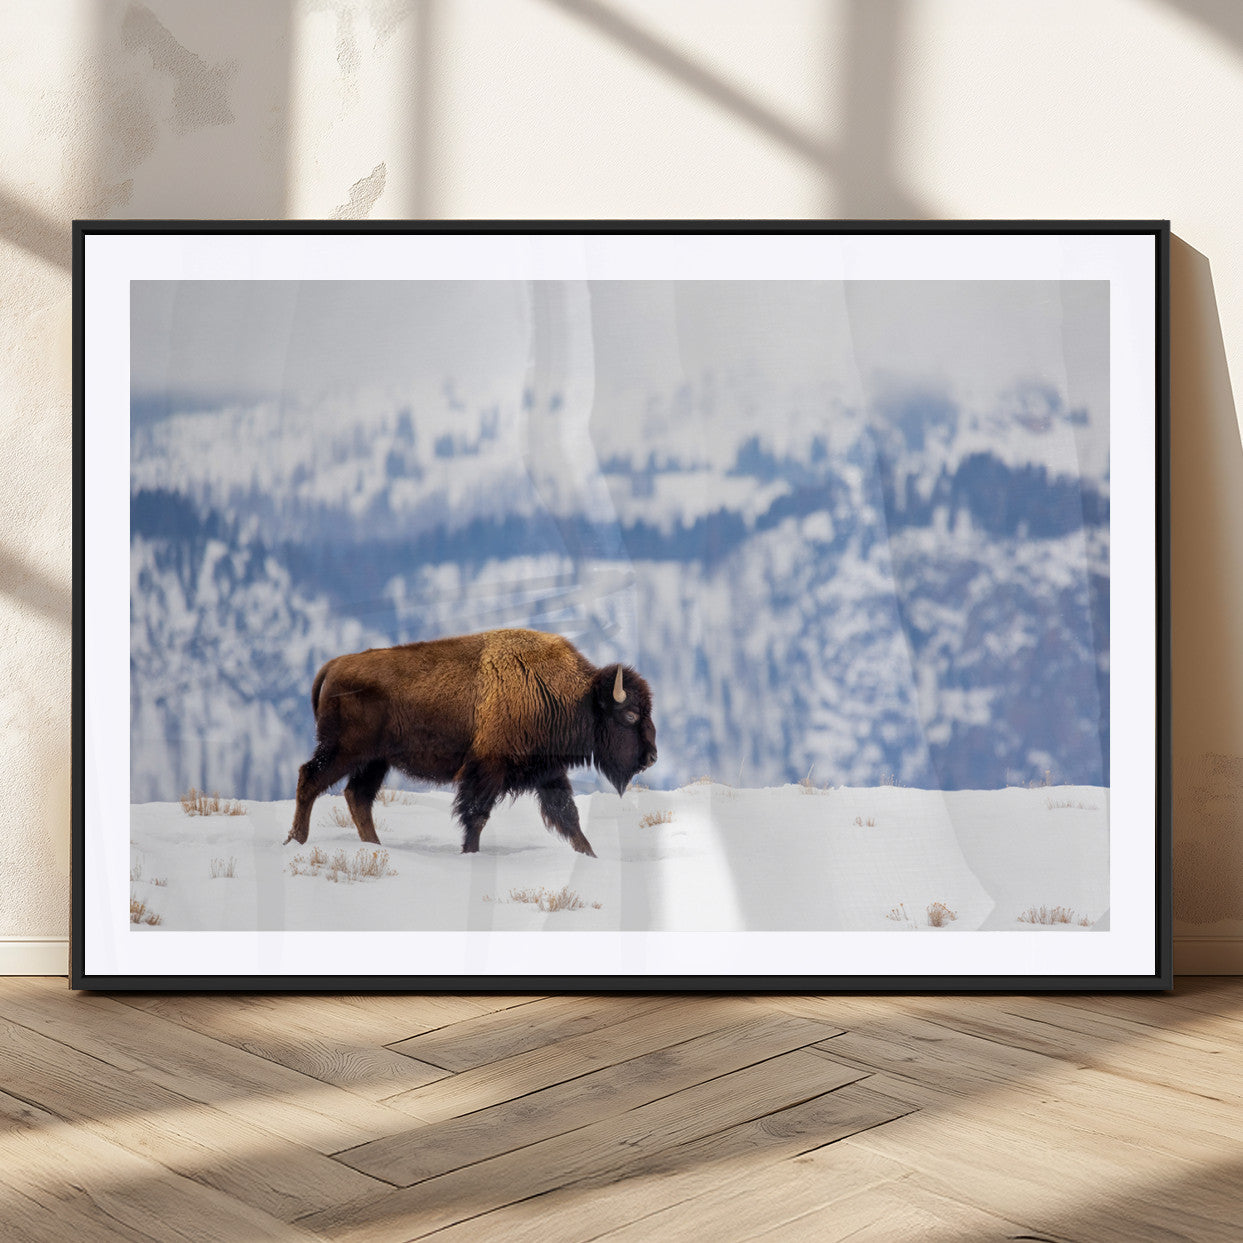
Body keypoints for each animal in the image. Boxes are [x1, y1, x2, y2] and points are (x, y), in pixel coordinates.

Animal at [285, 628, 657, 856]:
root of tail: (335, 664)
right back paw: (296, 840)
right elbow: (476, 815)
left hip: (375, 761)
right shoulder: (486, 771)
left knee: (357, 796)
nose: (651, 757)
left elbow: (568, 817)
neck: (572, 695)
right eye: (630, 715)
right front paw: (469, 852)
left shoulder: (548, 772)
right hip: (344, 751)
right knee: (310, 779)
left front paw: (591, 855)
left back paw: (375, 847)